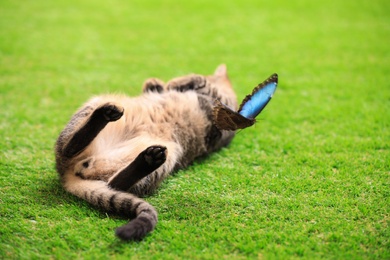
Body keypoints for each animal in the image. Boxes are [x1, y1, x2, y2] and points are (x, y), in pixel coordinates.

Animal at [54, 64, 238, 241]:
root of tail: (66, 174)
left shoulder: (222, 106)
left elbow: (199, 80)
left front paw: (174, 83)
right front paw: (156, 84)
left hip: (169, 155)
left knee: (113, 182)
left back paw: (148, 158)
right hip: (96, 105)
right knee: (72, 150)